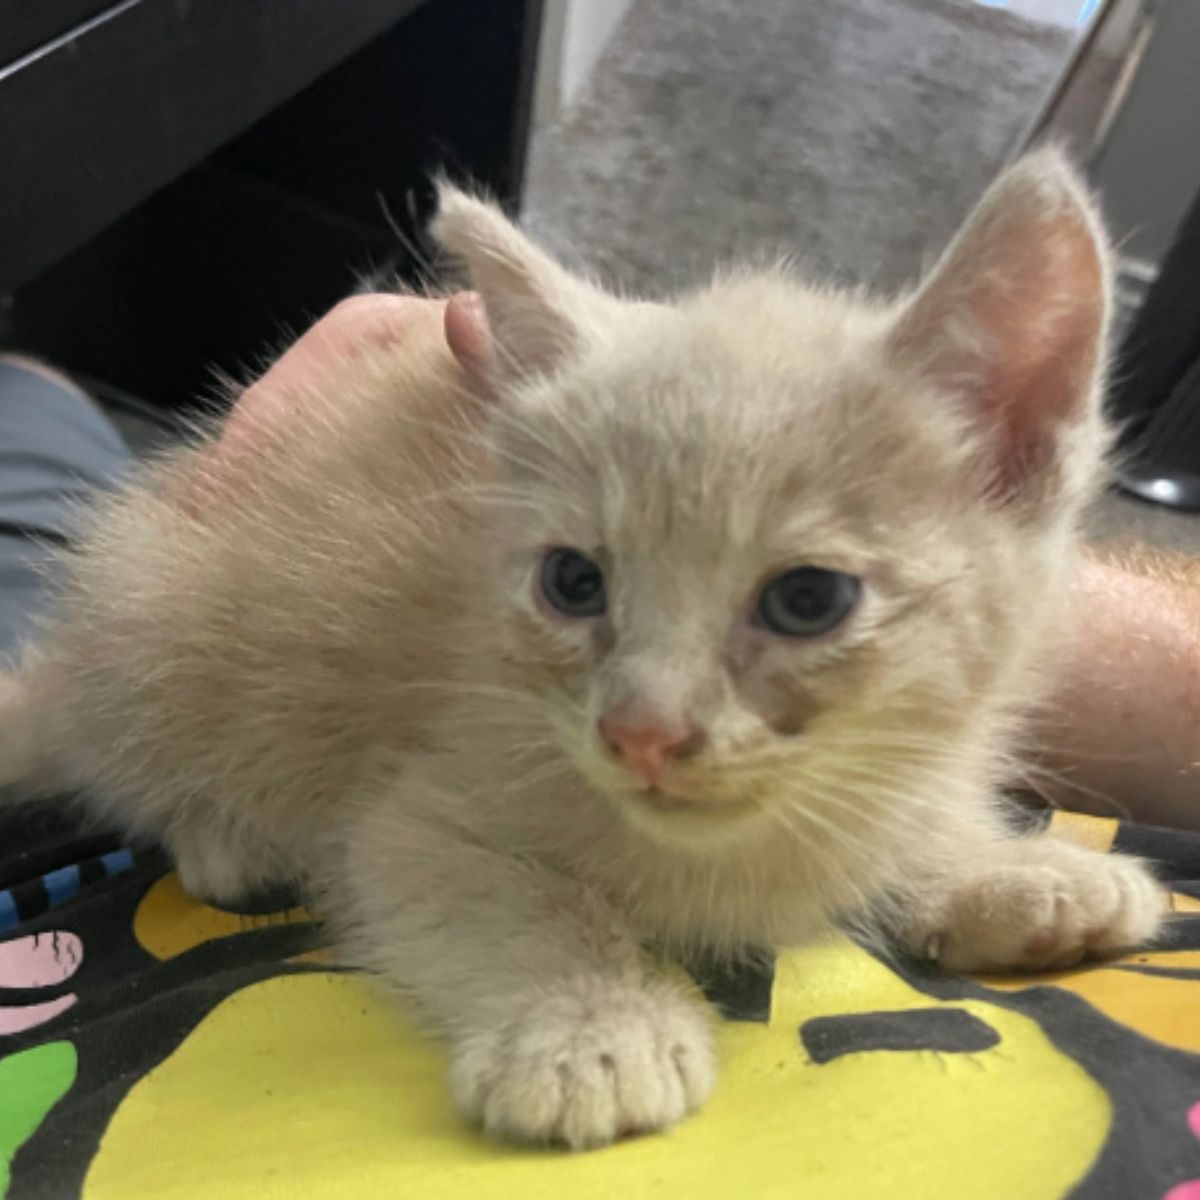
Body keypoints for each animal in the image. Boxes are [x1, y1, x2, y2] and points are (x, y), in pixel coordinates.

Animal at [0, 154, 1161, 1147]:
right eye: (573, 583)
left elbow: (898, 826)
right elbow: (503, 899)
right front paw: (592, 1034)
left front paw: (1006, 871)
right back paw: (230, 836)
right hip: (158, 635)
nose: (640, 732)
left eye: (807, 600)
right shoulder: (419, 808)